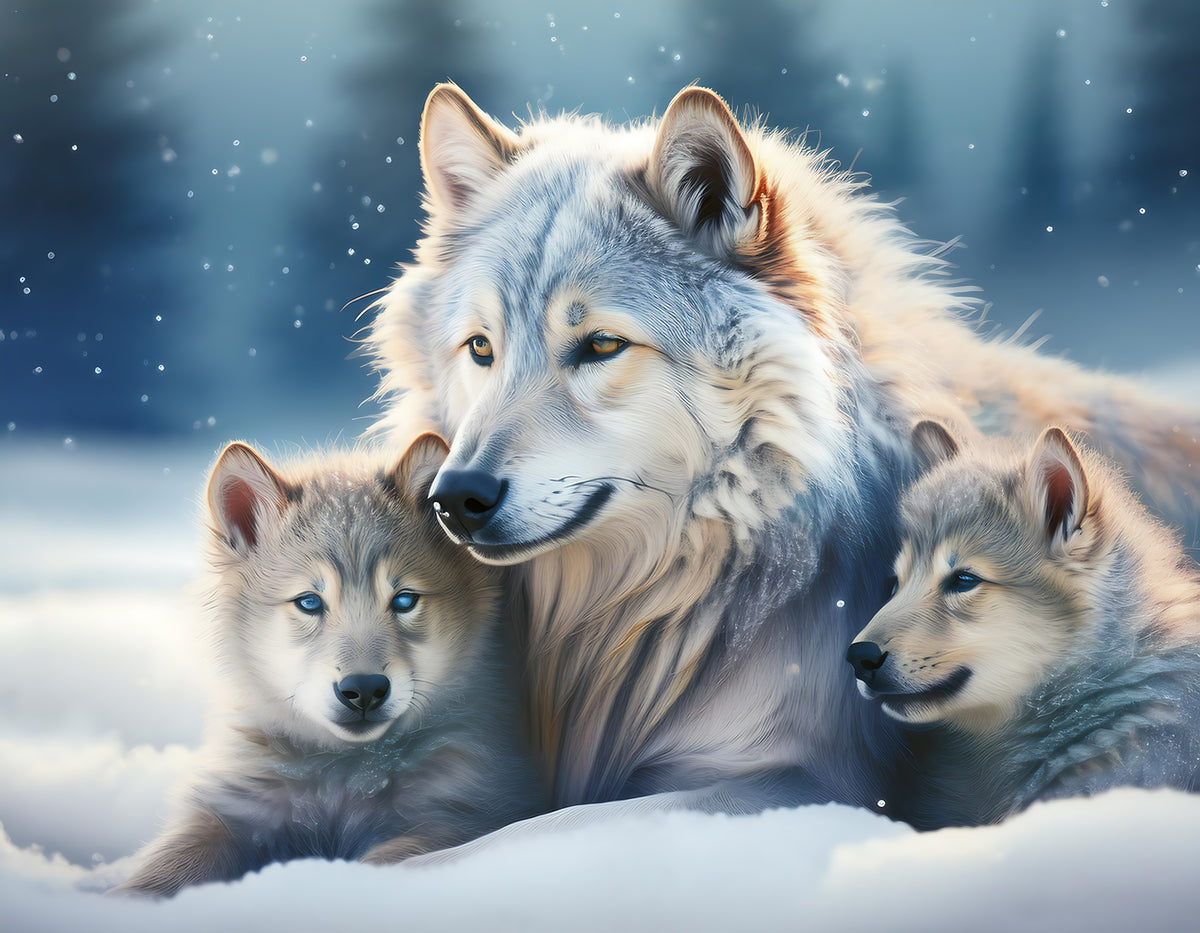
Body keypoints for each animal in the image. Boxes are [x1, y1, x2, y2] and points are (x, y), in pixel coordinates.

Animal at [117, 435, 545, 897]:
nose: (365, 690)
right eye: (309, 602)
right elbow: (169, 866)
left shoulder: (467, 814)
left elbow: (390, 858)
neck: (343, 777)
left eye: (404, 600)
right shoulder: (231, 811)